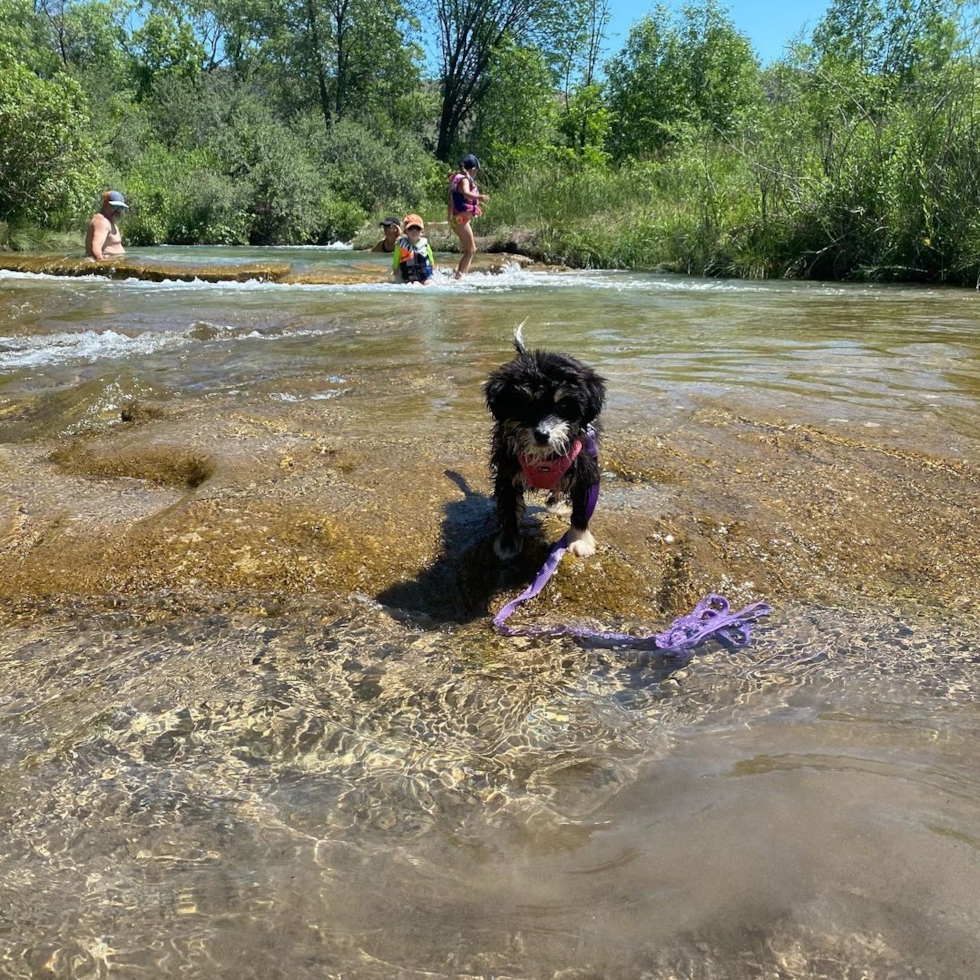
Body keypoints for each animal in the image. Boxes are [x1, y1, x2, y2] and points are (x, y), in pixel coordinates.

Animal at [482, 326, 604, 560]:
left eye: (563, 404)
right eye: (524, 404)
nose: (542, 434)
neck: (544, 457)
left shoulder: (584, 466)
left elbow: (581, 508)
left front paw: (579, 539)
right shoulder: (507, 470)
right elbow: (509, 508)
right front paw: (508, 542)